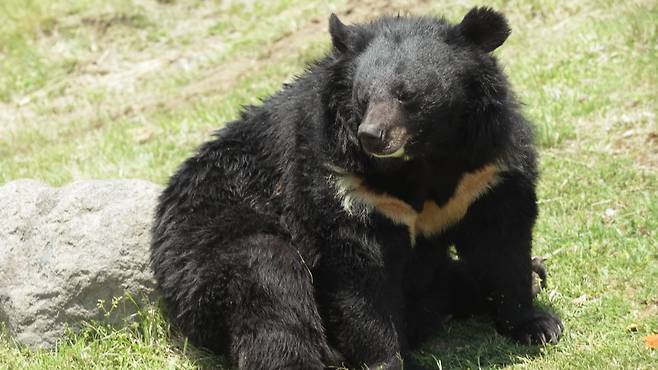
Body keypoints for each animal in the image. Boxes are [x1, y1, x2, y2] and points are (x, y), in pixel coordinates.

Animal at [151, 6, 560, 370]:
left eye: (406, 94)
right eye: (363, 97)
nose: (371, 136)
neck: (422, 159)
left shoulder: (484, 172)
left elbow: (501, 242)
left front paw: (538, 326)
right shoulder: (347, 185)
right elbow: (361, 275)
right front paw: (386, 361)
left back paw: (535, 274)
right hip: (210, 247)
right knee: (269, 281)